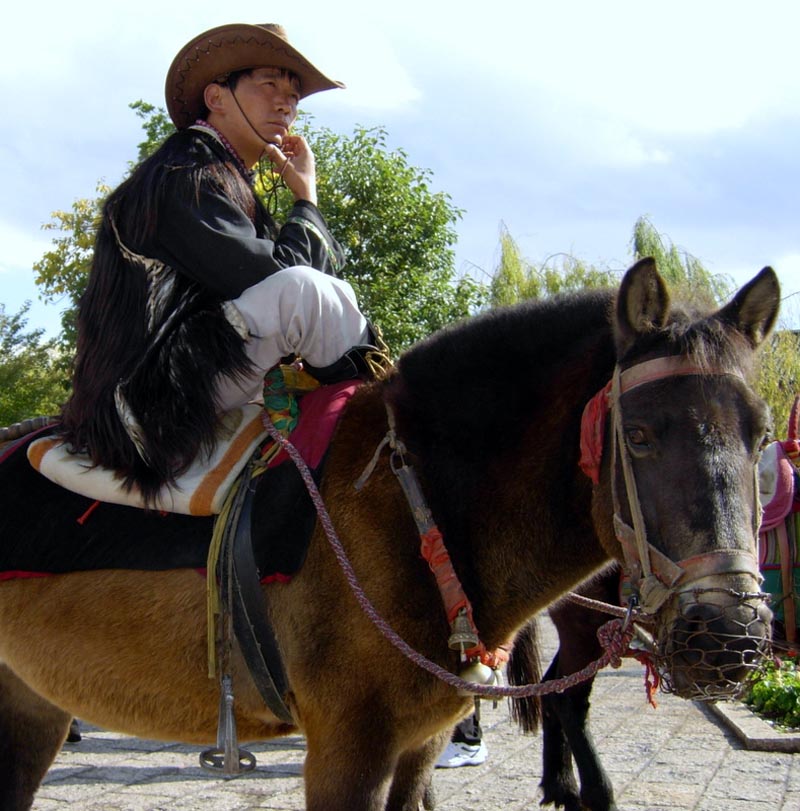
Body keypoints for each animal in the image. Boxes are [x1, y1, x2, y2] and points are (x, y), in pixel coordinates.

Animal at [0, 262, 780, 811]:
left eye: (763, 437)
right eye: (640, 435)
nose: (731, 634)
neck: (419, 507)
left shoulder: (417, 744)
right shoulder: (349, 750)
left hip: (32, 702)